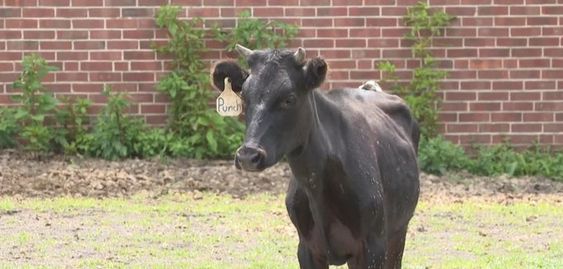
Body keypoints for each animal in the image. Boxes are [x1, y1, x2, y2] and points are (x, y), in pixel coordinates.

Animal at [212, 44, 418, 268]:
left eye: (289, 98)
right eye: (244, 97)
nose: (248, 155)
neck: (317, 188)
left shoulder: (374, 246)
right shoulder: (307, 248)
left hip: (398, 232)